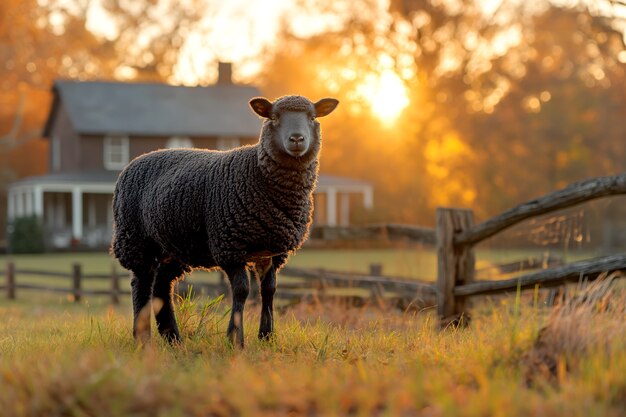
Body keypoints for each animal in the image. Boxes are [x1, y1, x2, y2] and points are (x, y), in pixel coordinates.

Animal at [109, 96, 338, 346]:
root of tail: (133, 163)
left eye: (313, 117)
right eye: (274, 117)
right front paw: (235, 339)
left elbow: (269, 290)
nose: (296, 139)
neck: (258, 174)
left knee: (161, 285)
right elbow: (241, 290)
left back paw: (173, 339)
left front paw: (266, 337)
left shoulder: (273, 251)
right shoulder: (230, 245)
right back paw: (142, 339)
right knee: (141, 284)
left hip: (176, 246)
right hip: (136, 239)